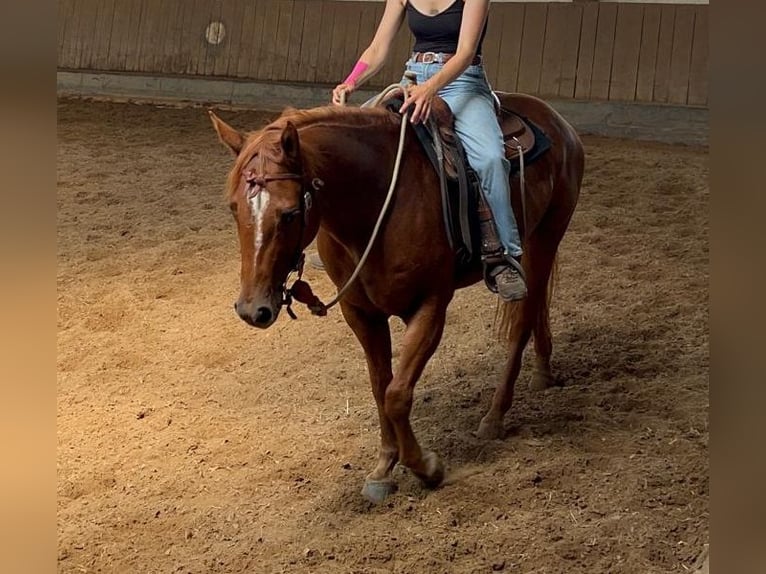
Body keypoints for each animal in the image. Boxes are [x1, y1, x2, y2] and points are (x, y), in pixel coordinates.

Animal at [210, 92, 584, 502]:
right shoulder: (361, 313)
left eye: (290, 213)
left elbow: (397, 393)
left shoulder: (430, 306)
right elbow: (379, 386)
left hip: (547, 236)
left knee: (522, 320)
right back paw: (543, 371)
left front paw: (426, 467)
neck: (374, 203)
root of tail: (556, 119)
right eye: (233, 207)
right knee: (537, 307)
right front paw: (384, 468)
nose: (253, 309)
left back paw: (495, 416)